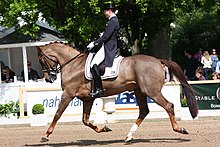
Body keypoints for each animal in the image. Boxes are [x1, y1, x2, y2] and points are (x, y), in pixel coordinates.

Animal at [37, 42, 199, 144]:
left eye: (41, 60)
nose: (49, 79)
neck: (73, 65)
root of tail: (158, 61)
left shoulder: (68, 94)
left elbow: (57, 114)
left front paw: (45, 135)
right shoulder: (87, 99)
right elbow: (85, 120)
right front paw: (104, 128)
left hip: (151, 91)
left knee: (168, 106)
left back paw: (180, 129)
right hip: (139, 91)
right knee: (144, 111)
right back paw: (129, 136)